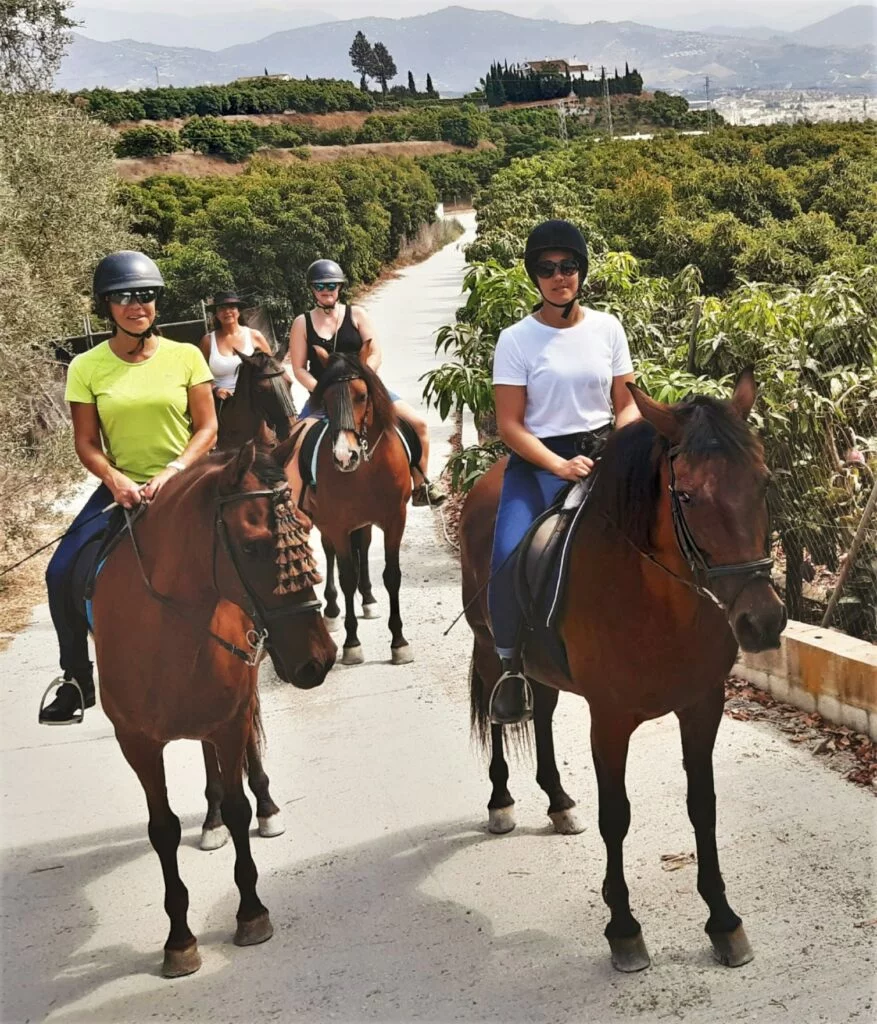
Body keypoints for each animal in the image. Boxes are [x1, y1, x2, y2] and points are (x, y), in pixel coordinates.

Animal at [90, 440, 333, 974]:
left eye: (306, 528)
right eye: (253, 546)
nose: (320, 660)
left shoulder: (230, 719)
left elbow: (241, 804)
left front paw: (252, 913)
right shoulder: (136, 744)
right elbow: (162, 829)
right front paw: (179, 941)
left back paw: (264, 807)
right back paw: (211, 819)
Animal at [458, 370, 786, 974]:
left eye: (764, 482)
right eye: (687, 495)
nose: (762, 620)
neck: (658, 600)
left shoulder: (702, 705)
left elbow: (702, 805)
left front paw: (723, 920)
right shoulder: (609, 719)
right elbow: (617, 815)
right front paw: (624, 929)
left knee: (543, 710)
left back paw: (558, 802)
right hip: (491, 644)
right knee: (499, 711)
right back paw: (501, 802)